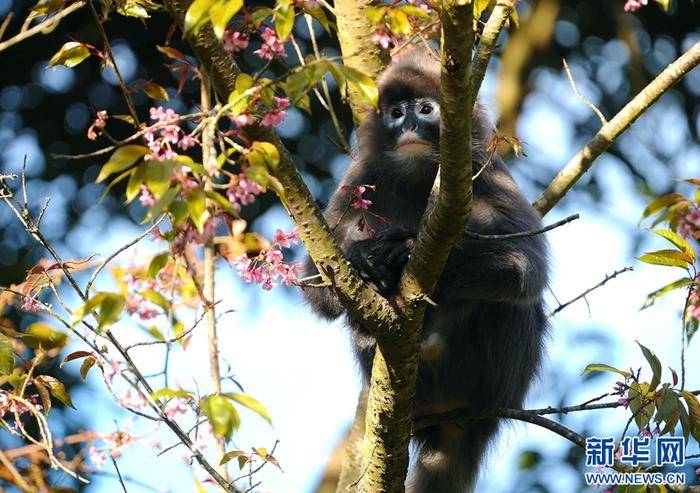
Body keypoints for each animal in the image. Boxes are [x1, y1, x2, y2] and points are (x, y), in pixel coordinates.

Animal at [300, 51, 548, 492]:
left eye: (426, 110)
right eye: (396, 113)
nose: (409, 126)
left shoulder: (488, 171)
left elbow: (528, 268)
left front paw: (404, 251)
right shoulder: (361, 178)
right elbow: (317, 283)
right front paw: (366, 259)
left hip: (499, 376)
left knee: (512, 302)